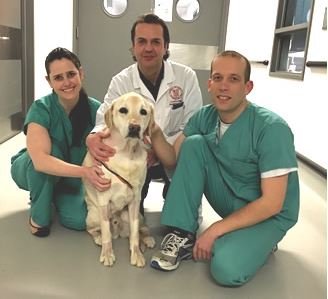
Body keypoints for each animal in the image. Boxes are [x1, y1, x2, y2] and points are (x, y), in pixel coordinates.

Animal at [84, 92, 157, 268]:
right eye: (123, 110)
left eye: (143, 112)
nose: (135, 128)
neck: (127, 152)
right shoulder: (104, 198)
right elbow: (106, 232)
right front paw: (107, 254)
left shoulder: (135, 200)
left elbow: (135, 234)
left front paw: (136, 254)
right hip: (93, 214)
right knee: (93, 230)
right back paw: (98, 238)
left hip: (135, 214)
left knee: (140, 230)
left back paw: (147, 238)